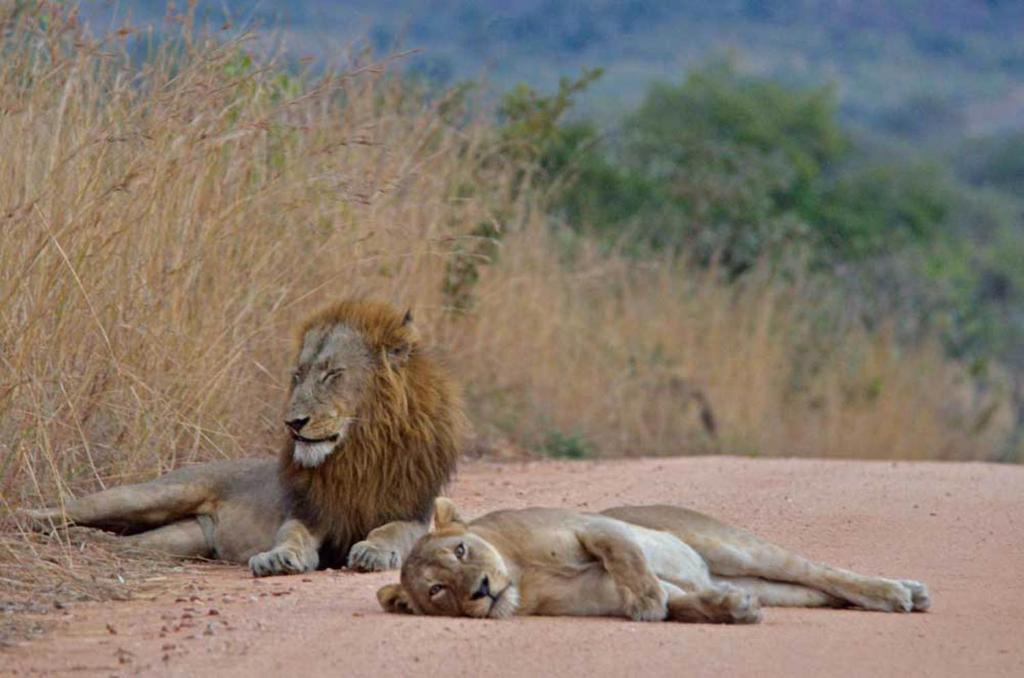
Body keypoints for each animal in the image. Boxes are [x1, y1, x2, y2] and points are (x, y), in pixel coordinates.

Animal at [24, 303, 464, 577]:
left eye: (331, 374)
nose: (293, 423)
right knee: (71, 509)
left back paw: (85, 541)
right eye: (298, 375)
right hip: (152, 495)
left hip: (178, 539)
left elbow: (390, 531)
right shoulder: (307, 513)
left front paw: (373, 551)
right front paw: (276, 559)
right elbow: (292, 536)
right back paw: (26, 519)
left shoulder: (412, 513)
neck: (356, 452)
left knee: (125, 541)